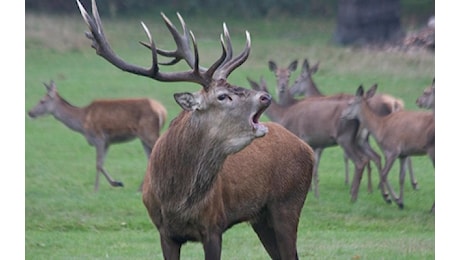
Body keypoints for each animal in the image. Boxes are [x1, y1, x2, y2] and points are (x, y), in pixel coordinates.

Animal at [27, 80, 167, 192]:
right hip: (143, 136)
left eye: (42, 101)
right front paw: (117, 183)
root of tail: (162, 111)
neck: (82, 122)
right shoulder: (107, 142)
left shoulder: (98, 137)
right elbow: (102, 163)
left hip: (149, 132)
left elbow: (98, 164)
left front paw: (97, 188)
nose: (30, 112)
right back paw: (140, 188)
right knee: (150, 157)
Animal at [78, 1, 316, 258]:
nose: (266, 96)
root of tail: (307, 148)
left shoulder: (214, 225)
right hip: (261, 217)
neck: (176, 200)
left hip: (288, 202)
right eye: (222, 96)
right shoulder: (164, 232)